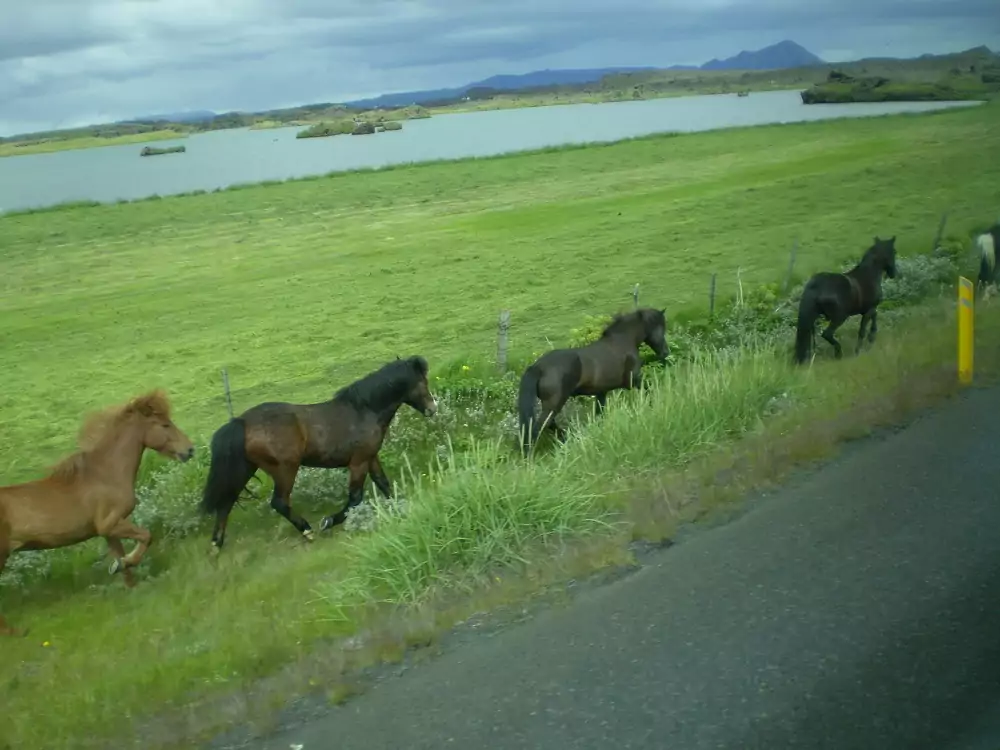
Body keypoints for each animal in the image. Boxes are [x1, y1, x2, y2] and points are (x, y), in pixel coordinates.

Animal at [0, 389, 195, 636]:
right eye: (165, 424)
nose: (190, 450)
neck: (105, 474)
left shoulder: (107, 530)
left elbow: (120, 555)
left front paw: (128, 578)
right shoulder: (110, 523)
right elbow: (146, 536)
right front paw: (126, 564)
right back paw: (15, 632)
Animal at [199, 355, 438, 551]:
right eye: (423, 382)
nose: (433, 408)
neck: (364, 411)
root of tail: (241, 422)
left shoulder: (370, 457)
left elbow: (383, 483)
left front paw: (401, 506)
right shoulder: (358, 462)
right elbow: (355, 498)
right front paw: (328, 522)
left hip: (246, 468)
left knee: (225, 504)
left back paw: (216, 545)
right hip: (286, 469)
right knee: (278, 502)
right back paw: (307, 531)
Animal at [517, 307, 670, 456]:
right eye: (661, 327)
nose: (666, 352)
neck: (622, 342)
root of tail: (538, 367)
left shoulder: (601, 392)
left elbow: (599, 415)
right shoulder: (634, 380)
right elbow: (649, 390)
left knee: (548, 425)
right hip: (554, 404)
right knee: (537, 429)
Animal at [793, 236, 899, 364]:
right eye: (894, 251)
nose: (893, 274)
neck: (869, 274)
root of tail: (815, 285)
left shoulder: (867, 310)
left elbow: (874, 318)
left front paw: (871, 337)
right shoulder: (869, 310)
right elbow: (862, 330)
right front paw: (860, 349)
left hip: (814, 317)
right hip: (839, 317)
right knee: (827, 334)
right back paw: (838, 353)